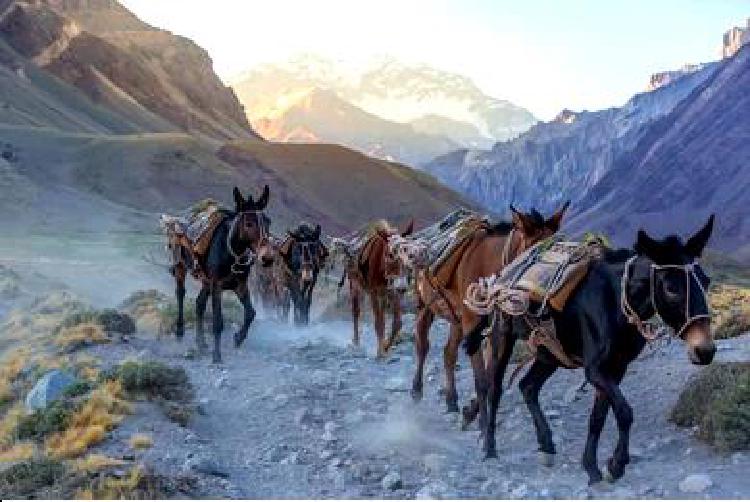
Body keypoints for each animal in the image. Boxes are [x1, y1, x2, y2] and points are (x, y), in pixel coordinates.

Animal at [342, 220, 418, 356]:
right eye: (390, 254)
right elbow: (378, 322)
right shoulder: (374, 292)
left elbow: (397, 323)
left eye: (409, 254)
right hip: (355, 287)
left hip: (383, 295)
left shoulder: (393, 293)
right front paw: (380, 352)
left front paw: (386, 346)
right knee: (356, 313)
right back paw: (356, 342)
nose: (402, 287)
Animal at [396, 204, 568, 412]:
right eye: (536, 257)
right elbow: (481, 378)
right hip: (425, 307)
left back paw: (451, 399)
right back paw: (417, 390)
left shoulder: (494, 329)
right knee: (422, 345)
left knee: (449, 353)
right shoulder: (472, 325)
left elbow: (489, 375)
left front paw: (471, 410)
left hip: (456, 320)